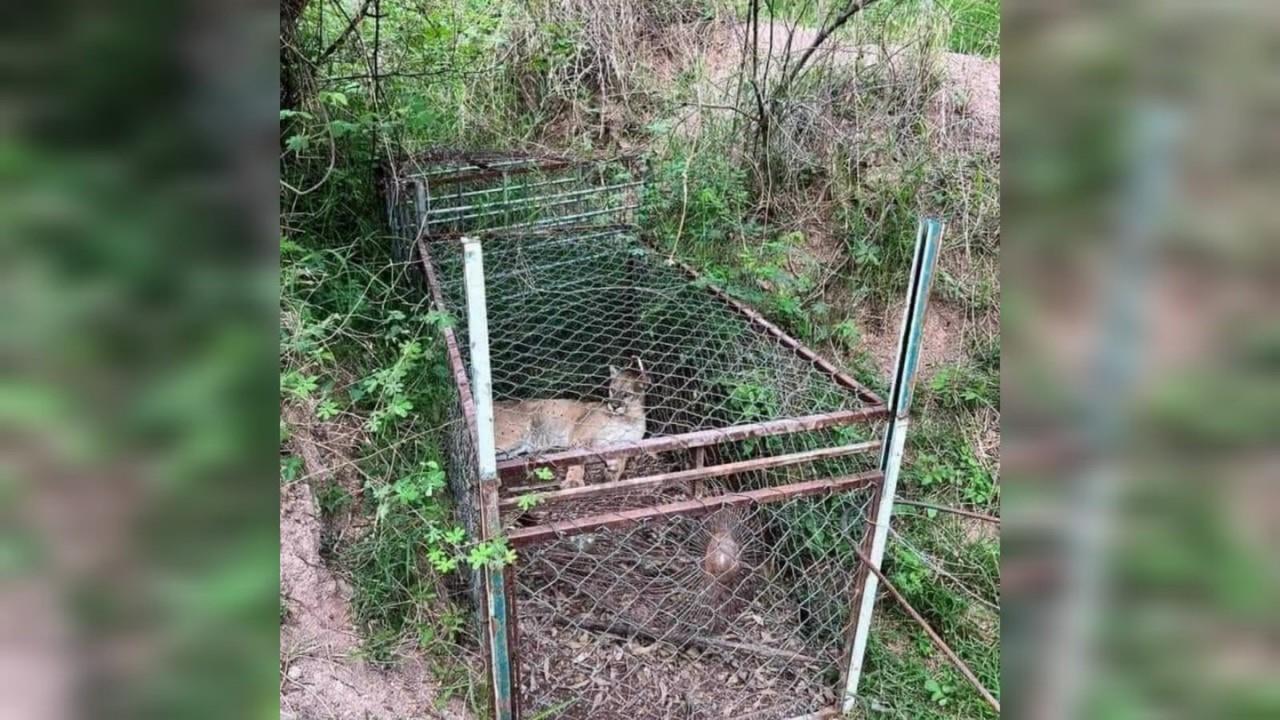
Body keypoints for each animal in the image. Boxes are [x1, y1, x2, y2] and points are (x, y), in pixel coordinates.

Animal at [491, 356, 650, 484]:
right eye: (612, 390)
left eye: (626, 394)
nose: (614, 405)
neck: (628, 418)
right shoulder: (579, 438)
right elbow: (577, 459)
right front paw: (573, 481)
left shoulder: (626, 444)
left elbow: (622, 459)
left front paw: (612, 474)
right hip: (514, 435)